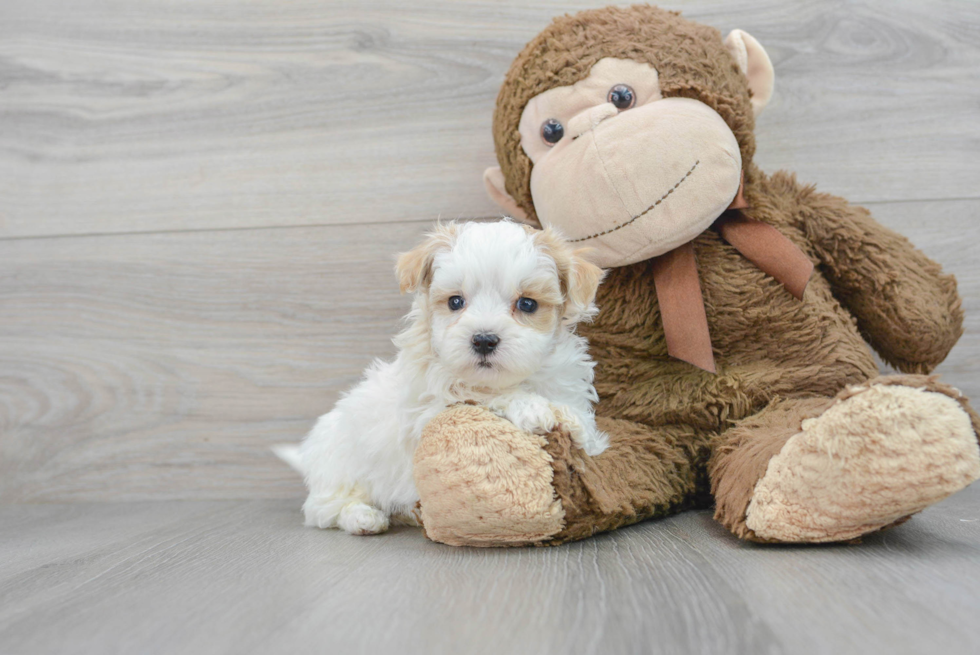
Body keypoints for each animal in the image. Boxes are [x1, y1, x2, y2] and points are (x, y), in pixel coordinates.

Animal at [276, 220, 608, 532]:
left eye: (527, 303)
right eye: (455, 302)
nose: (484, 340)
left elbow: (575, 417)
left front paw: (577, 426)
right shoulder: (429, 411)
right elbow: (480, 394)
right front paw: (531, 407)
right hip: (341, 472)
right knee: (323, 509)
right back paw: (363, 517)